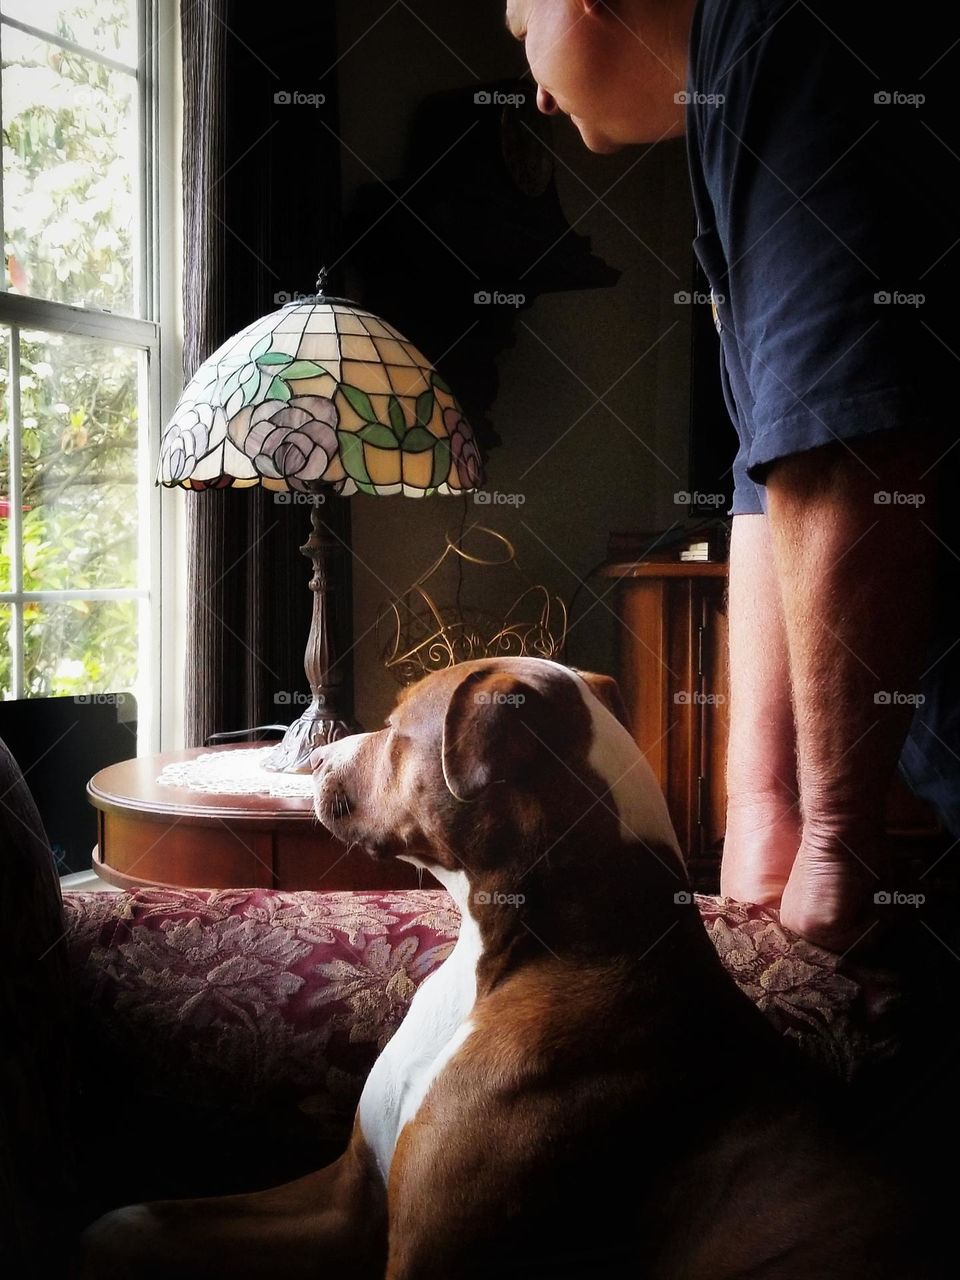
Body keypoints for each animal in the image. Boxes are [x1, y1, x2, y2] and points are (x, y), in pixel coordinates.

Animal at [79, 660, 936, 1280]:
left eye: (398, 729)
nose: (315, 757)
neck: (503, 961)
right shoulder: (350, 1198)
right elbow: (132, 1219)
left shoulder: (424, 1256)